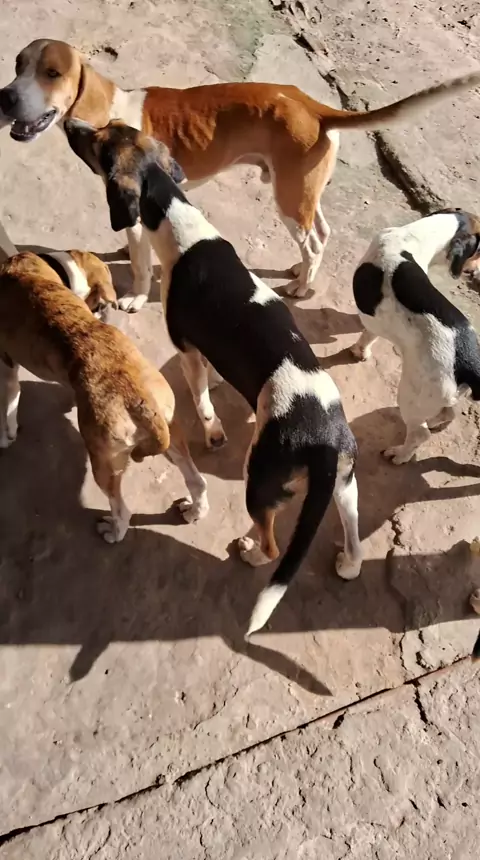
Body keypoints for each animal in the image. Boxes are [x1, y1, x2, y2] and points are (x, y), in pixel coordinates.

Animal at [0, 248, 208, 540]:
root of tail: (137, 398)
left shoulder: (6, 362)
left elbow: (9, 401)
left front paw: (6, 435)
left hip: (104, 463)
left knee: (122, 511)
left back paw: (113, 531)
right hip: (172, 431)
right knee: (196, 479)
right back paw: (195, 510)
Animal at [1, 40, 480, 307]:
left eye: (52, 73)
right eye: (18, 65)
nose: (5, 97)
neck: (109, 111)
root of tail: (313, 106)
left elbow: (138, 266)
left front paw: (134, 297)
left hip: (288, 199)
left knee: (315, 241)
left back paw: (302, 288)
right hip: (302, 192)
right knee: (321, 233)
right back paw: (299, 272)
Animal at [64, 118, 364, 633]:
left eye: (100, 145)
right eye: (113, 128)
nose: (71, 122)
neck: (180, 223)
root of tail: (325, 437)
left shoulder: (185, 350)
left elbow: (203, 403)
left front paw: (211, 431)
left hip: (259, 480)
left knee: (272, 545)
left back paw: (248, 551)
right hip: (345, 485)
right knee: (354, 537)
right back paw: (347, 563)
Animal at [350, 209, 480, 464]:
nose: (472, 272)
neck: (413, 236)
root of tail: (470, 363)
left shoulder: (373, 322)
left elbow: (367, 336)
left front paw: (360, 351)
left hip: (411, 395)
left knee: (420, 434)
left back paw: (399, 455)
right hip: (440, 397)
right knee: (448, 413)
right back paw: (435, 421)